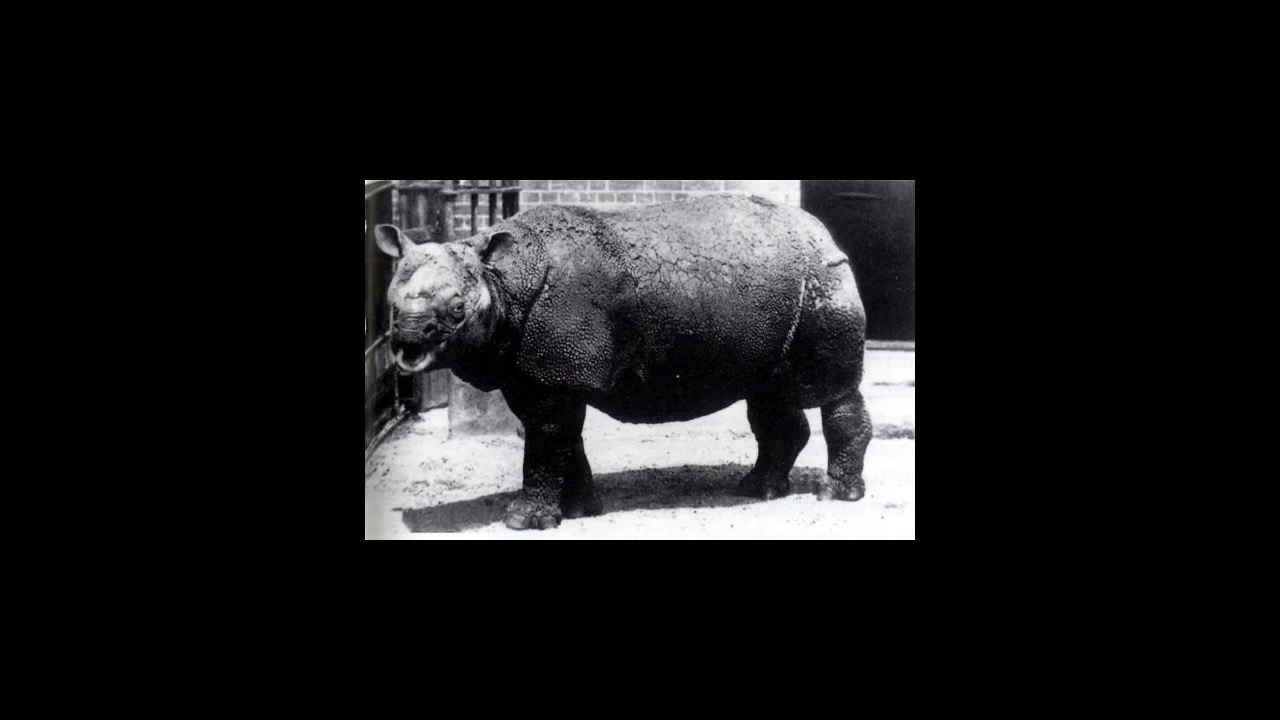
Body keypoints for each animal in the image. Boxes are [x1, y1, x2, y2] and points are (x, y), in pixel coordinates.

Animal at [374, 194, 872, 530]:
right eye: (391, 303)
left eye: (457, 310)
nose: (407, 340)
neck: (502, 281)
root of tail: (822, 231)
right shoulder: (535, 372)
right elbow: (562, 439)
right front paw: (579, 510)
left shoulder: (556, 372)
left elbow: (546, 439)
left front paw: (523, 520)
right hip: (779, 295)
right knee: (767, 392)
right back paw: (758, 489)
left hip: (823, 277)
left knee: (832, 390)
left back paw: (835, 494)